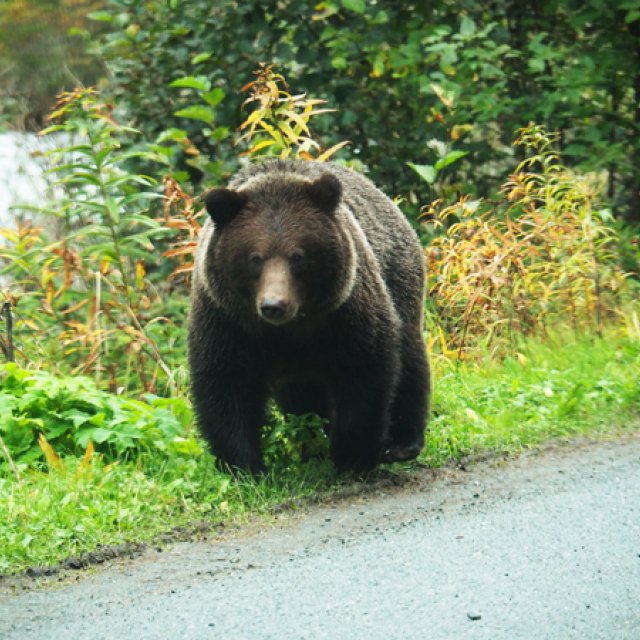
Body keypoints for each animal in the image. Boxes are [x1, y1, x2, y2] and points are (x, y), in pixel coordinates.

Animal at [189, 160, 430, 476]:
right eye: (254, 258)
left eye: (298, 256)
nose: (273, 305)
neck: (289, 331)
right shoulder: (226, 321)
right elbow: (226, 385)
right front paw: (245, 466)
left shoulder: (346, 312)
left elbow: (364, 370)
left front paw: (352, 456)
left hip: (398, 278)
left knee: (410, 357)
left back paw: (402, 443)